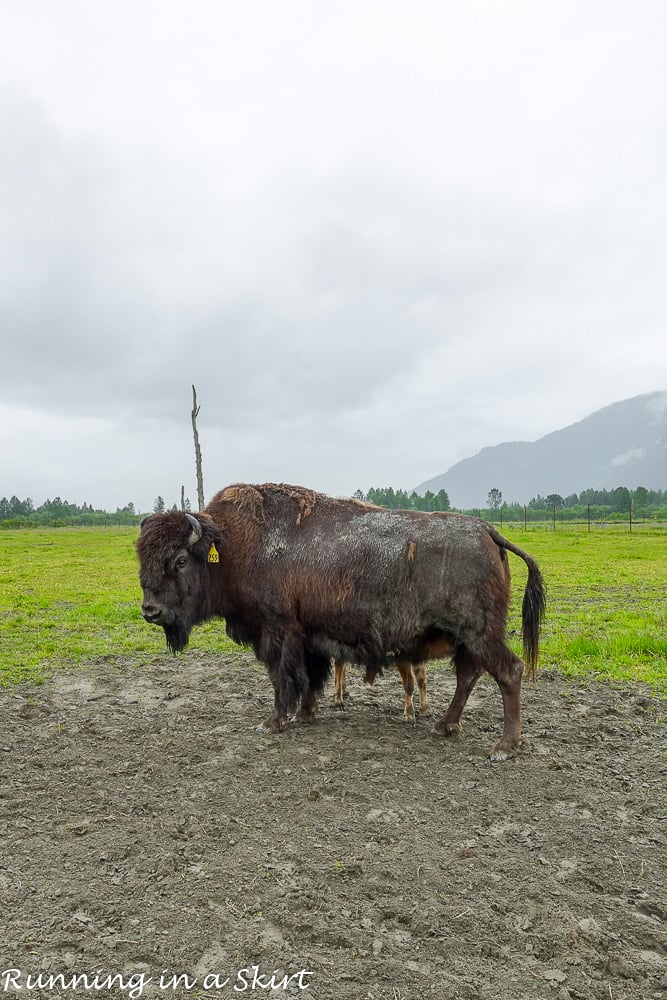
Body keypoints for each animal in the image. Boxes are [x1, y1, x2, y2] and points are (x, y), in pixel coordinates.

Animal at [137, 482, 548, 756]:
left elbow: (283, 677)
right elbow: (307, 676)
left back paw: (504, 746)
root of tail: (488, 531)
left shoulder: (277, 629)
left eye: (180, 559)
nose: (151, 610)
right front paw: (307, 713)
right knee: (469, 676)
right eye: (143, 557)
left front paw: (273, 722)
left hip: (479, 634)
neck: (233, 545)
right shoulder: (307, 634)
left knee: (509, 671)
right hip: (467, 638)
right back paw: (445, 726)